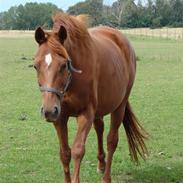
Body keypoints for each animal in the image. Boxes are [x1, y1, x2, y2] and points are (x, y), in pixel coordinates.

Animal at [34, 12, 147, 183]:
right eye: (35, 66)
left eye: (64, 65)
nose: (48, 111)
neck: (72, 81)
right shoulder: (60, 117)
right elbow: (64, 153)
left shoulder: (85, 114)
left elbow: (77, 150)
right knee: (99, 128)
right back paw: (101, 164)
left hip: (119, 106)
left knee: (111, 140)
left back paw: (106, 177)